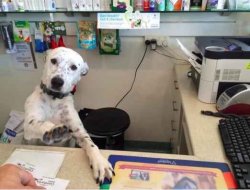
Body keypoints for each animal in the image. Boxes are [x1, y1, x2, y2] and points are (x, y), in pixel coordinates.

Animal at [23, 47, 114, 184]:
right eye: (53, 60)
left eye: (73, 67)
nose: (57, 81)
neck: (54, 99)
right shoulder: (28, 127)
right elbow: (40, 123)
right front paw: (54, 130)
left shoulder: (79, 132)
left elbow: (92, 145)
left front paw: (100, 162)